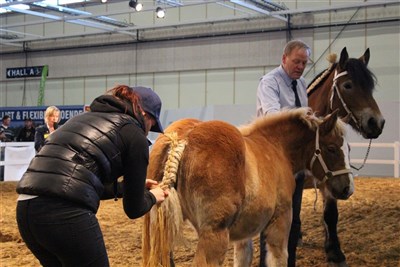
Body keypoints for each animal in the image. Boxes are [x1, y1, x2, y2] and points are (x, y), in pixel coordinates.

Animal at [143, 109, 354, 267]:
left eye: (349, 149)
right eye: (332, 148)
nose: (347, 189)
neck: (277, 148)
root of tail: (183, 138)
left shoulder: (243, 234)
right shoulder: (280, 219)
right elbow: (278, 258)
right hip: (214, 235)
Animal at [306, 47, 384, 266]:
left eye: (370, 87)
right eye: (348, 85)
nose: (377, 123)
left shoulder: (333, 179)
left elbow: (330, 215)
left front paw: (334, 251)